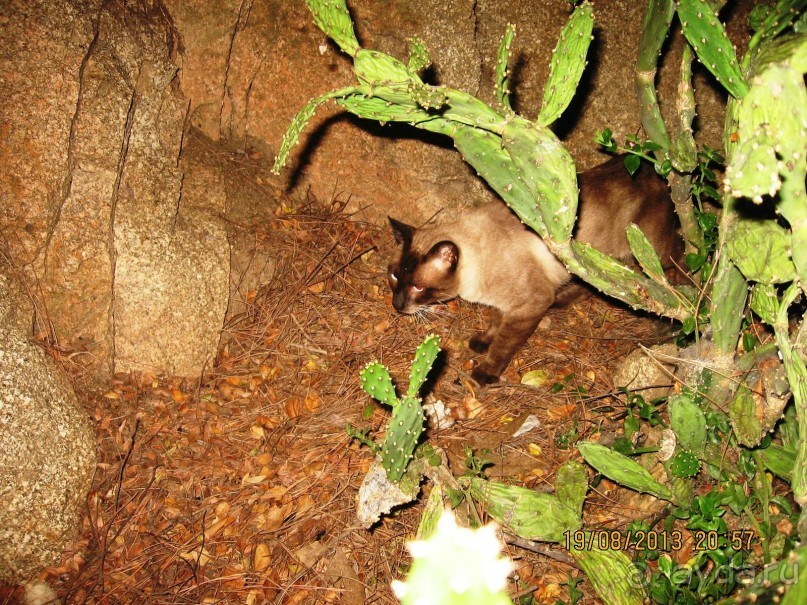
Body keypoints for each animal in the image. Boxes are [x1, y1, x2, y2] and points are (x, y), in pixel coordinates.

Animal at [386, 153, 680, 384]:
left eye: (418, 287)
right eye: (394, 277)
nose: (397, 305)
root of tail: (655, 168)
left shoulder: (529, 305)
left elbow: (503, 344)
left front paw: (486, 373)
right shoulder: (505, 304)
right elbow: (495, 324)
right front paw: (482, 343)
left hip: (651, 255)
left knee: (675, 274)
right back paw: (562, 300)